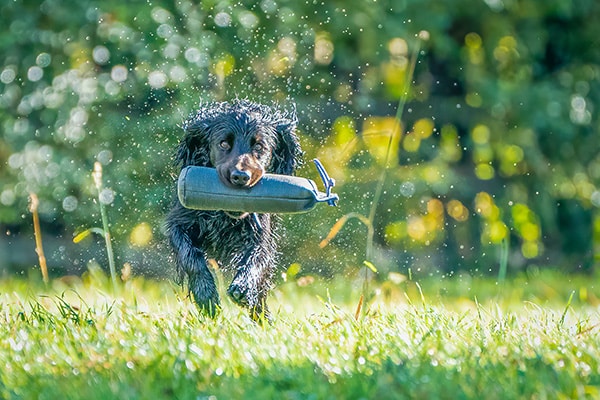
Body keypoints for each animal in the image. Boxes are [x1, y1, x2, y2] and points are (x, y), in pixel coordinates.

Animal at [166, 101, 302, 322]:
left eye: (259, 146)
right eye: (223, 144)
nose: (240, 177)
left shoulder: (260, 234)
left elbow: (257, 258)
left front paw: (243, 288)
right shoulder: (179, 223)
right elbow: (190, 255)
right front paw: (206, 294)